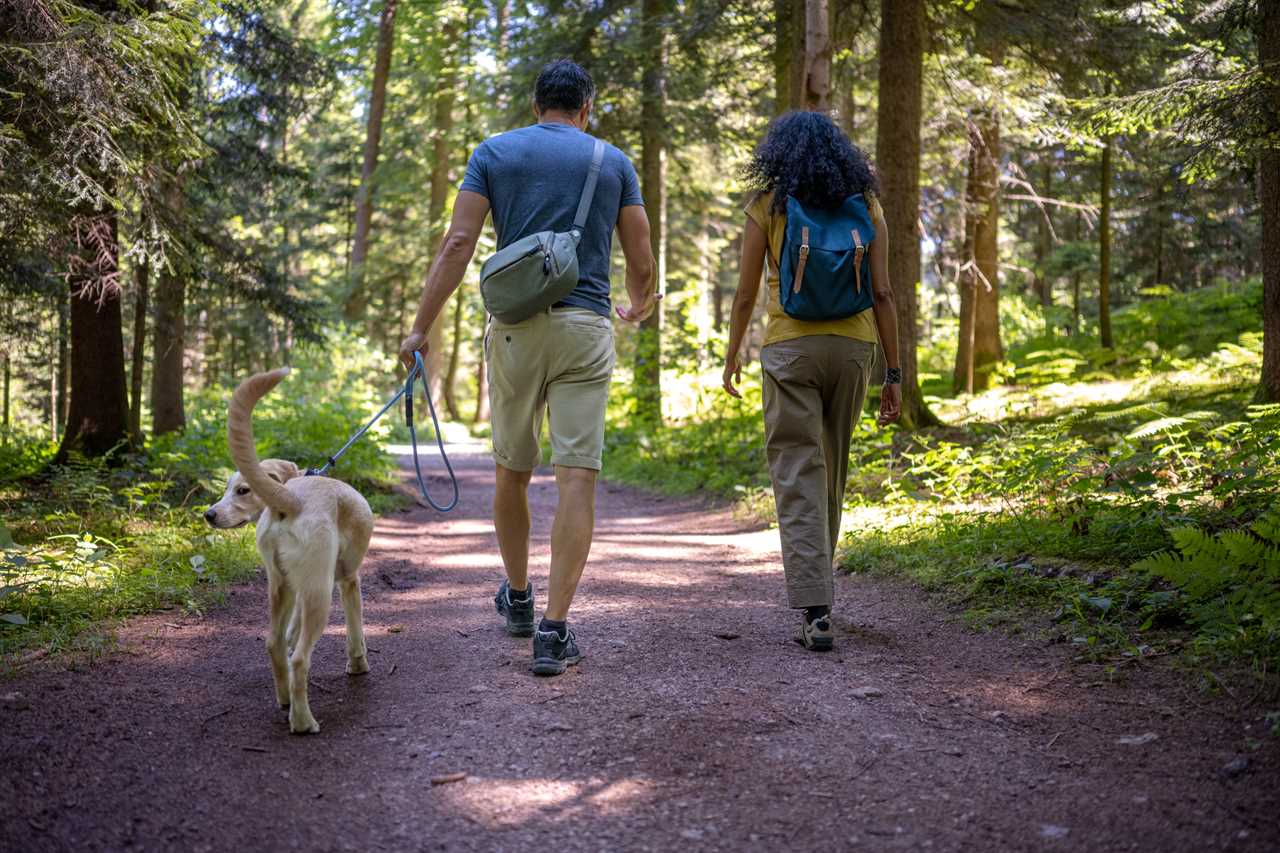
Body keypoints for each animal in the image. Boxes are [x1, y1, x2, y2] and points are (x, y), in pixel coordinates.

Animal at [204, 366, 373, 732]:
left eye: (241, 490)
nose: (209, 514)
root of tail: (292, 498)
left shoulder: (296, 591)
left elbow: (290, 632)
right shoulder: (348, 581)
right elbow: (355, 633)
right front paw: (358, 665)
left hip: (280, 587)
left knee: (274, 644)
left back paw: (284, 700)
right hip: (320, 596)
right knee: (299, 659)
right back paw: (303, 720)